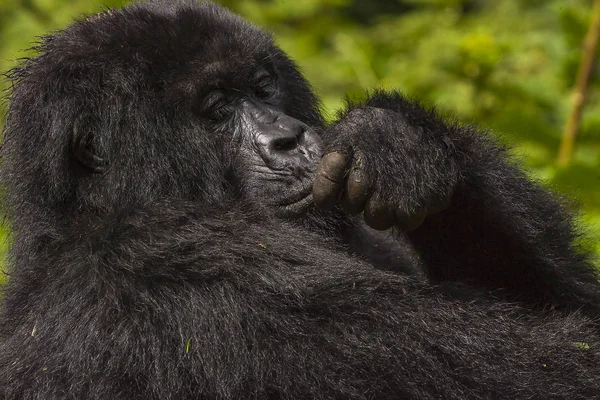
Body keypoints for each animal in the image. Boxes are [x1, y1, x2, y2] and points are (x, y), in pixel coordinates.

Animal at [1, 1, 600, 398]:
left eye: (263, 86)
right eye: (217, 108)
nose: (289, 137)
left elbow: (577, 304)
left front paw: (400, 141)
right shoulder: (188, 268)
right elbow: (552, 370)